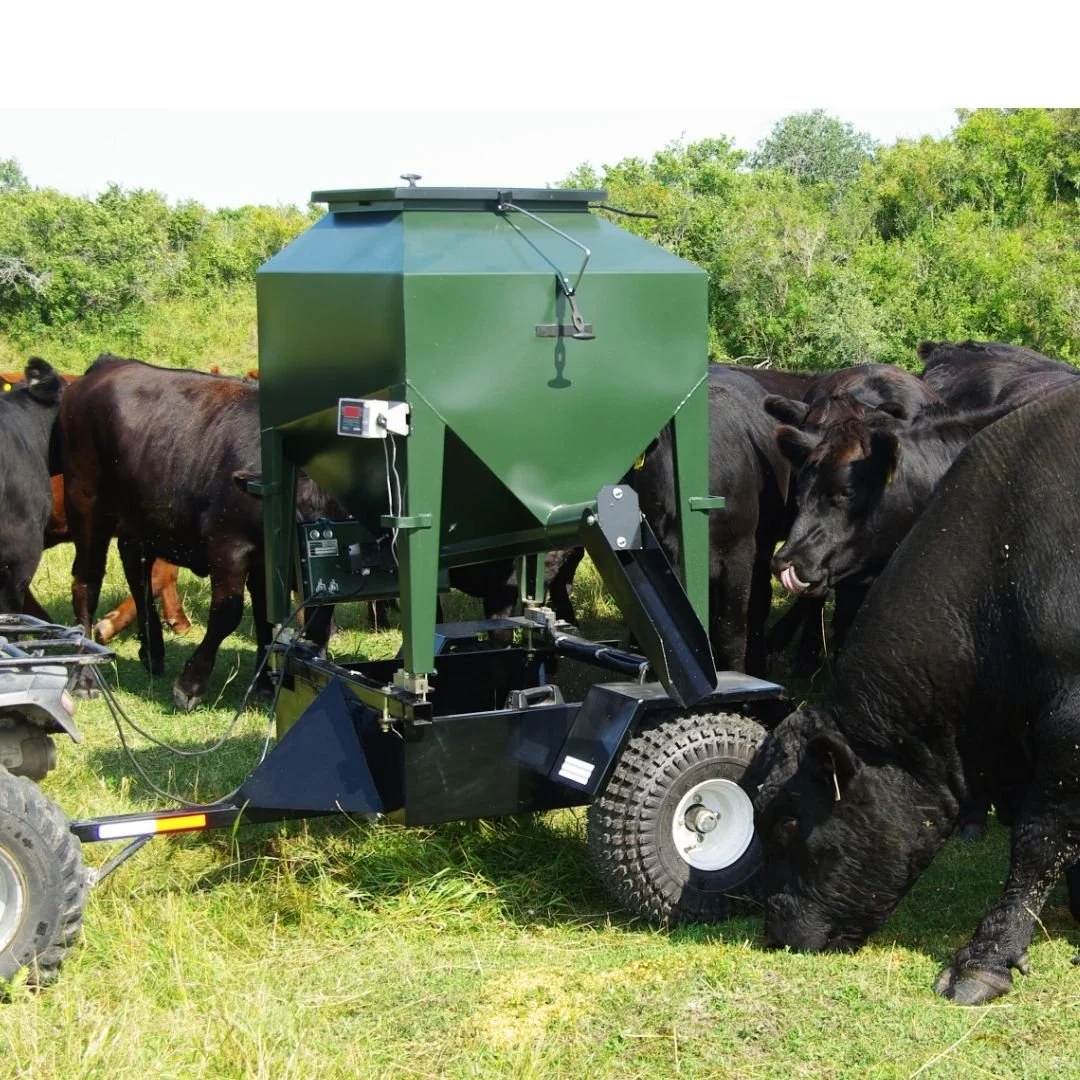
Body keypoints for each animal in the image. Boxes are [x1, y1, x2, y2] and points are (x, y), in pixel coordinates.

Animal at [61, 354, 337, 711]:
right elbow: (228, 613)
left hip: (141, 514)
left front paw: (263, 684)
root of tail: (107, 365)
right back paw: (85, 678)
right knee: (87, 581)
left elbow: (271, 617)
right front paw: (190, 684)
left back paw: (153, 652)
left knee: (135, 567)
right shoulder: (228, 546)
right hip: (87, 505)